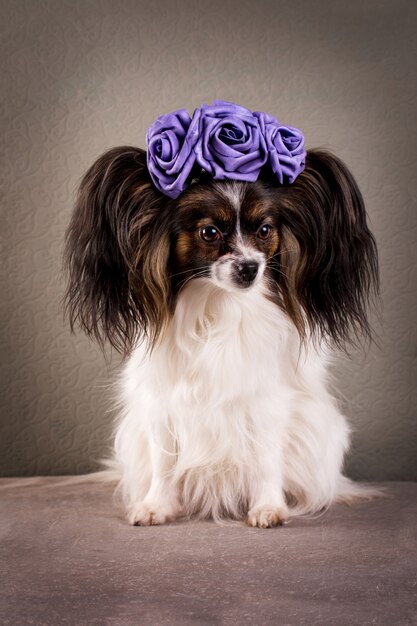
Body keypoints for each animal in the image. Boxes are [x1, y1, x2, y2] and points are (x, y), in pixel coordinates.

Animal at [63, 102, 378, 528]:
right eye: (209, 233)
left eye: (265, 230)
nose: (250, 268)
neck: (219, 306)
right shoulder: (163, 404)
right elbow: (164, 460)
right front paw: (156, 505)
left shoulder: (266, 402)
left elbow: (266, 458)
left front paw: (268, 508)